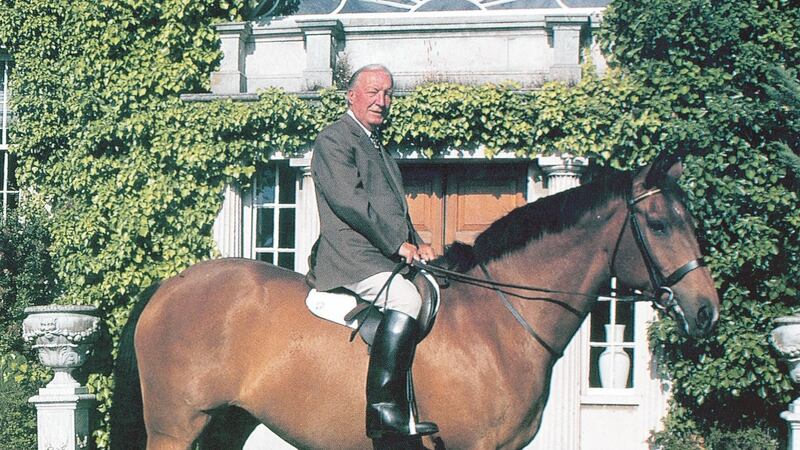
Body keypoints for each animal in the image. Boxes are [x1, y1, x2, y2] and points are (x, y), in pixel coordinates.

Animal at [110, 154, 719, 450]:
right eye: (660, 224)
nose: (707, 310)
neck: (501, 323)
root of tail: (167, 288)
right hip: (174, 429)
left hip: (226, 426)